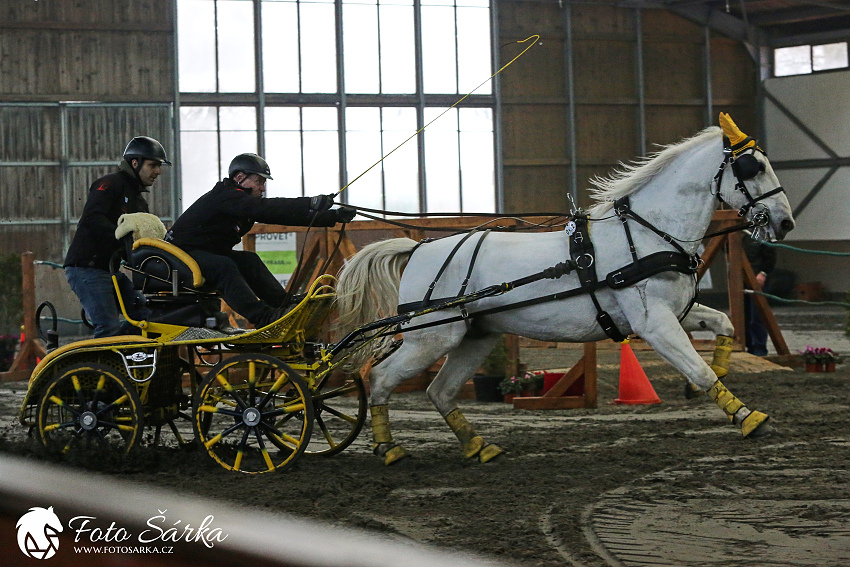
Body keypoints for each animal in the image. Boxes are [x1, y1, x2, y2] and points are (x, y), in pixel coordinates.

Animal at [334, 114, 792, 466]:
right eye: (751, 167)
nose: (785, 223)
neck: (648, 233)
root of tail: (417, 248)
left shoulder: (677, 311)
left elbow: (724, 325)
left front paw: (715, 379)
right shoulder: (653, 323)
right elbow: (697, 366)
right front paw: (748, 417)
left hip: (475, 337)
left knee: (440, 390)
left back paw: (479, 447)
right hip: (432, 337)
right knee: (379, 378)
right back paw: (388, 448)